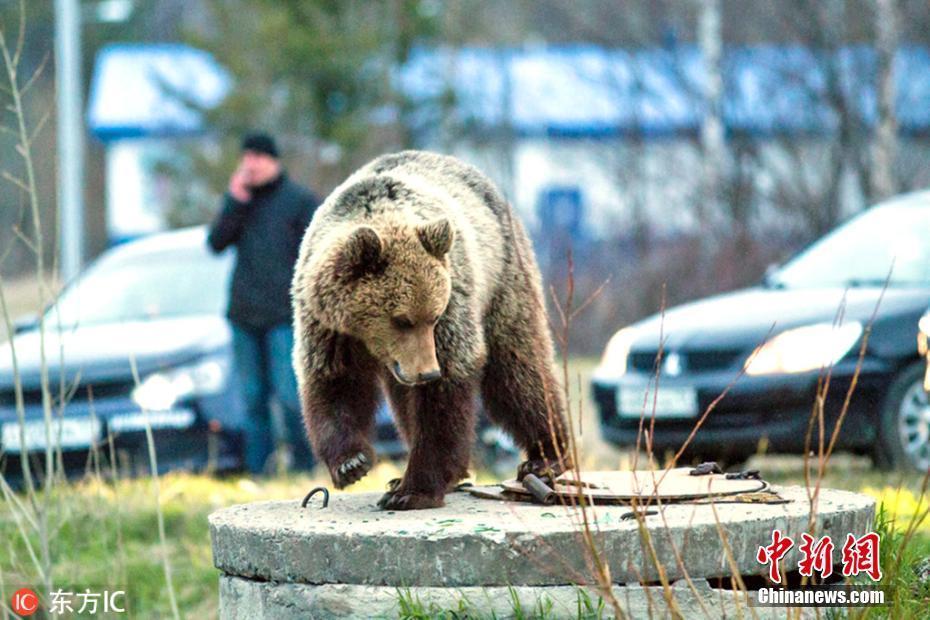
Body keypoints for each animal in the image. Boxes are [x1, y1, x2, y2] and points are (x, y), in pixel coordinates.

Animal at [292, 149, 564, 508]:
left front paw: (412, 490)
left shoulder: (453, 308)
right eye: (401, 319)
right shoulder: (328, 325)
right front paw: (352, 463)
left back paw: (546, 456)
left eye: (433, 316)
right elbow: (336, 381)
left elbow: (444, 399)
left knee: (517, 369)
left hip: (504, 278)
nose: (427, 371)